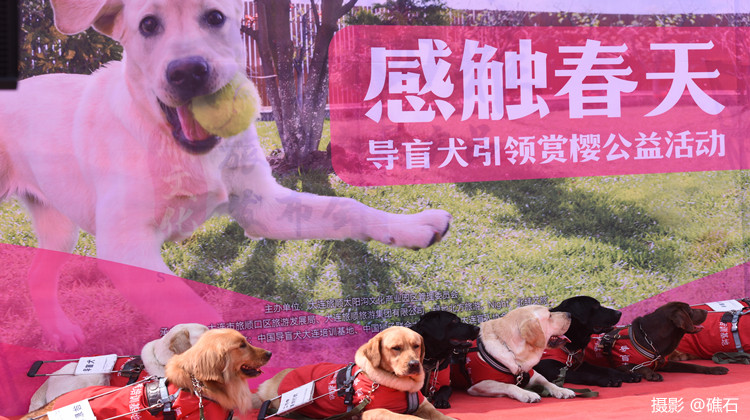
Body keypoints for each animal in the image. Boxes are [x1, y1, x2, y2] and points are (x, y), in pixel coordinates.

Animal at [0, 0, 451, 351]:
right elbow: (198, 314)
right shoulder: (125, 244)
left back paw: (60, 332)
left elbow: (346, 207)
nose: (187, 72)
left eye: (215, 17)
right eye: (148, 25)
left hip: (59, 226)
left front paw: (413, 226)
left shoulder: (261, 207)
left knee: (37, 275)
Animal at [254, 326, 455, 420]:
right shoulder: (375, 412)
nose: (414, 364)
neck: (403, 388)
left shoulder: (425, 406)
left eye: (416, 346)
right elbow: (409, 417)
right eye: (396, 348)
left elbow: (440, 415)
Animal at [584, 301, 729, 381]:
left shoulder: (664, 363)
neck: (649, 339)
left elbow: (695, 366)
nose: (706, 311)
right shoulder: (622, 364)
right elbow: (640, 367)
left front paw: (714, 369)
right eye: (690, 310)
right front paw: (652, 374)